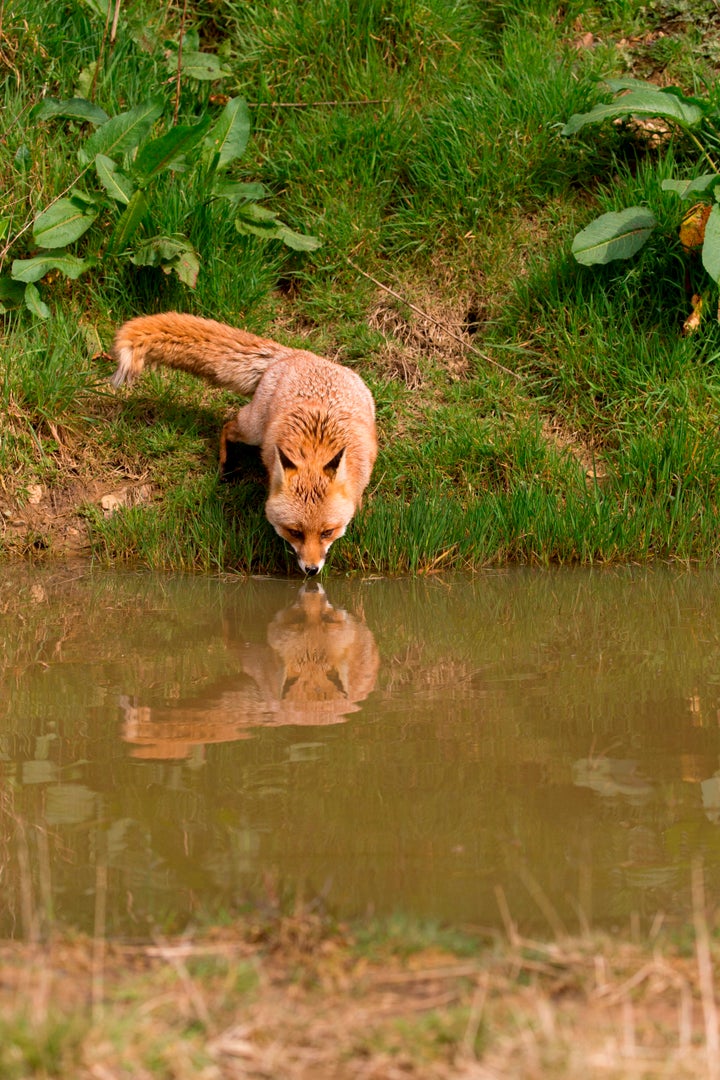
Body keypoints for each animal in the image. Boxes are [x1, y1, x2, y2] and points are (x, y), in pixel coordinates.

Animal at [110, 311, 379, 574]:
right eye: (295, 532)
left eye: (327, 532)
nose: (311, 570)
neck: (315, 448)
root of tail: (296, 354)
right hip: (253, 429)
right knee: (227, 427)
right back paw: (226, 466)